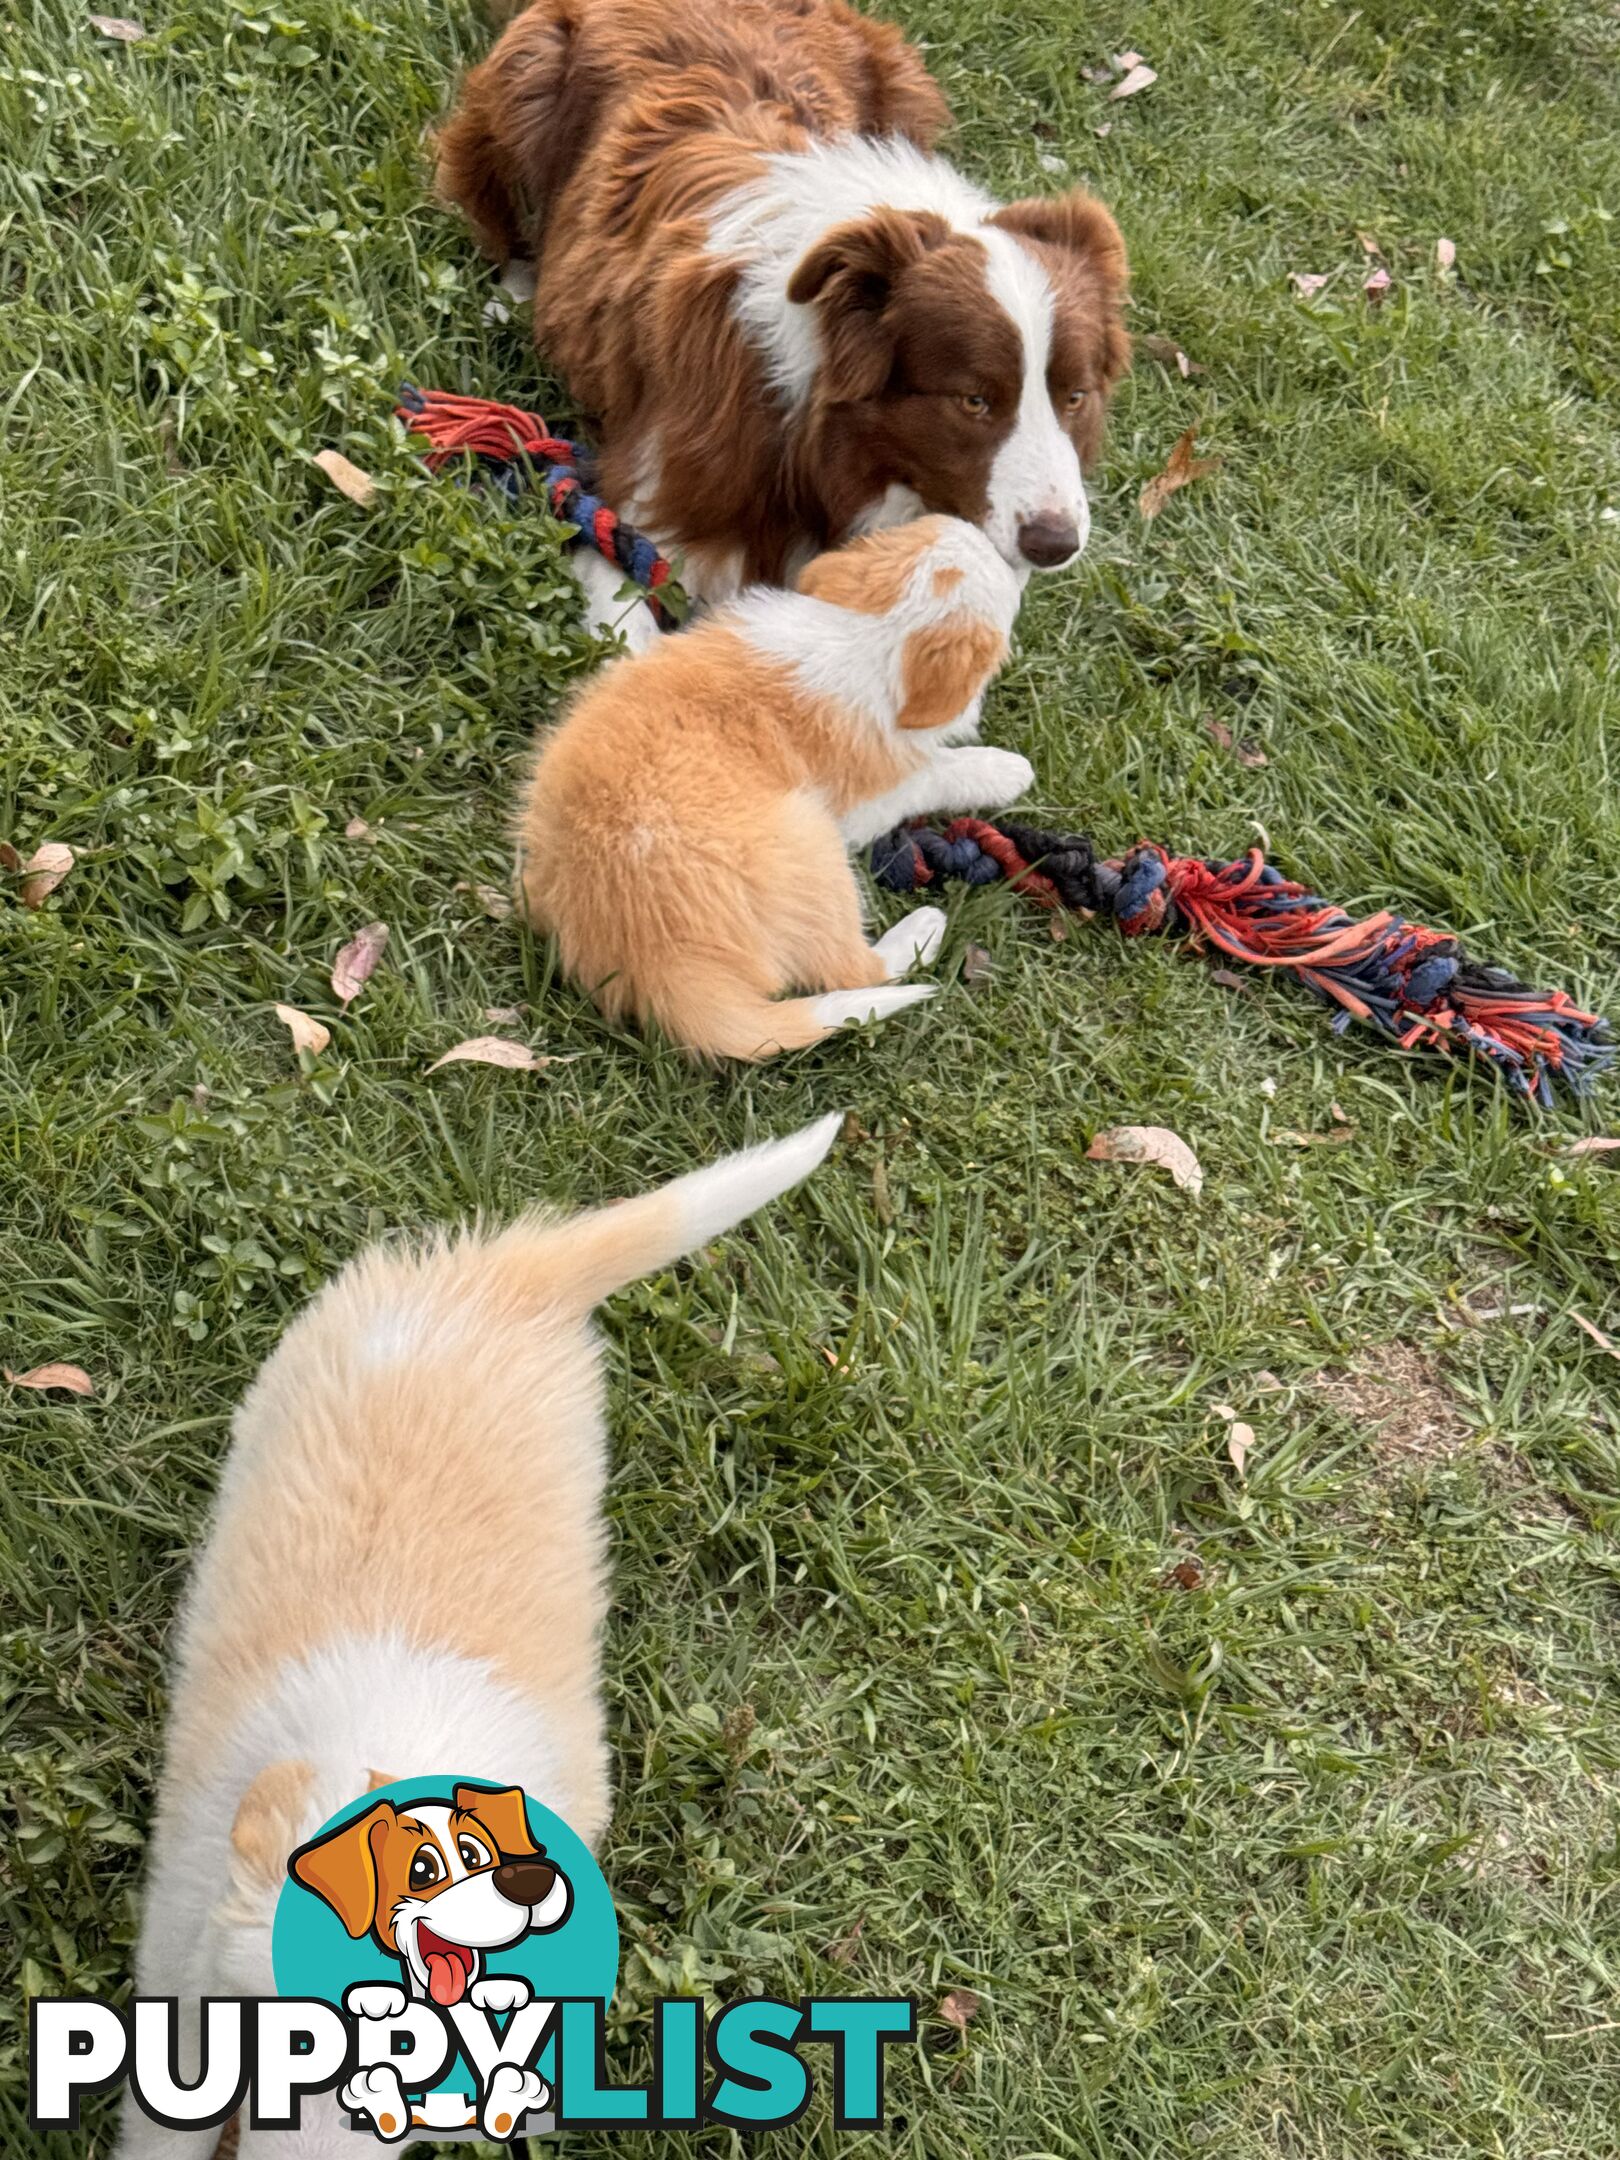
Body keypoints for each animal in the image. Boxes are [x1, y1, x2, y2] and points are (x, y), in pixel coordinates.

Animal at [516, 514, 1028, 1054]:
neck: (863, 626)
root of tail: (658, 966)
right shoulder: (868, 801)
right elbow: (934, 771)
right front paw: (1004, 769)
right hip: (815, 843)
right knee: (855, 971)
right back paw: (924, 929)